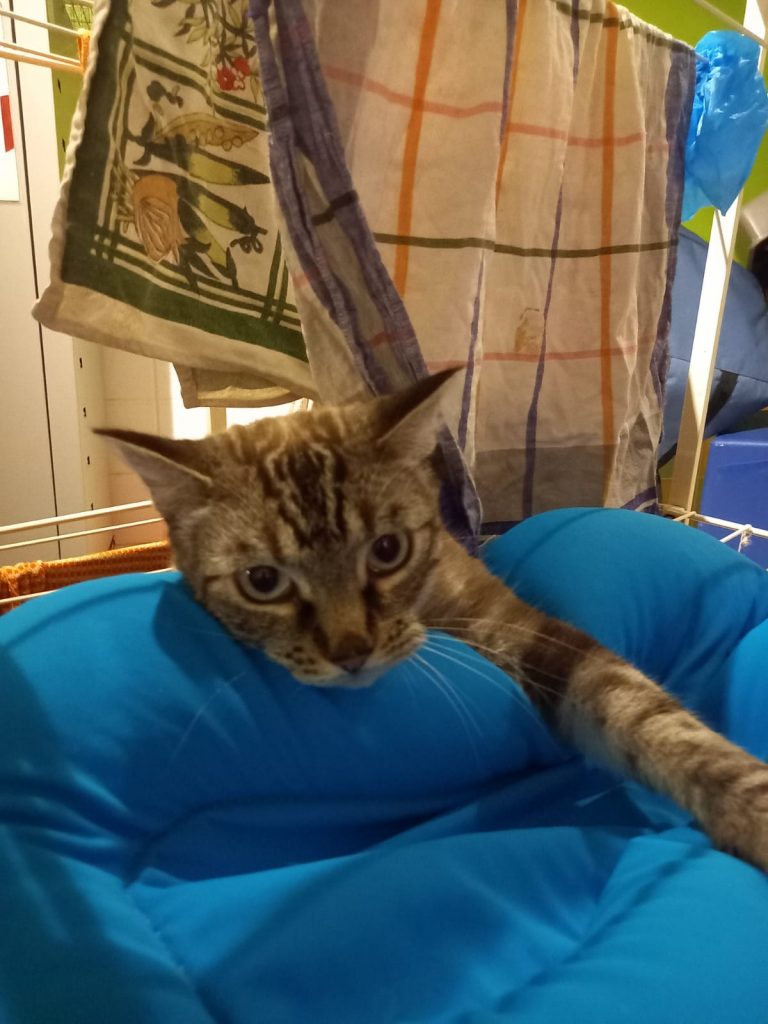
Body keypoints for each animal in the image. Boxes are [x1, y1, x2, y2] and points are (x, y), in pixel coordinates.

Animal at [97, 369, 768, 871]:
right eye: (263, 582)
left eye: (388, 550)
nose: (352, 650)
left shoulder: (528, 633)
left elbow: (653, 718)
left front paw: (752, 810)